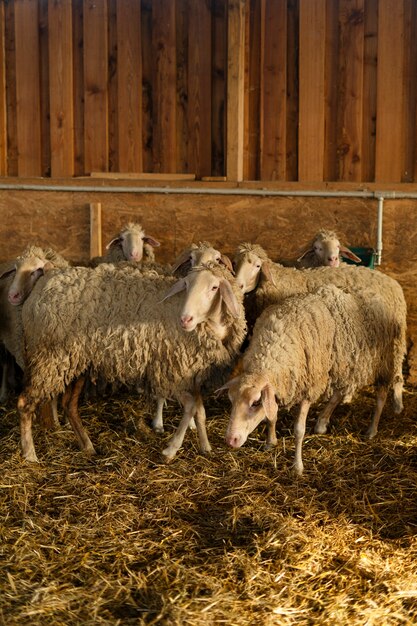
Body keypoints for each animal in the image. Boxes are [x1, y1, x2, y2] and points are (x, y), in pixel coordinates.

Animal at [17, 260, 247, 460]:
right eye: (187, 285)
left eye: (214, 287)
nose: (185, 319)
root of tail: (44, 283)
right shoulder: (172, 374)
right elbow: (191, 408)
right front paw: (170, 450)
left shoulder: (192, 375)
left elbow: (200, 412)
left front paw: (205, 446)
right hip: (49, 358)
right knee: (25, 403)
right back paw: (30, 454)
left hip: (74, 361)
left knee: (69, 405)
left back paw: (87, 446)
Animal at [221, 282, 406, 472]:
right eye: (231, 400)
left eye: (255, 403)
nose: (230, 440)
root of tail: (376, 294)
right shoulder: (281, 385)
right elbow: (272, 415)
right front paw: (270, 442)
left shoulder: (308, 387)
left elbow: (299, 430)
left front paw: (297, 466)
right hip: (343, 364)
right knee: (338, 393)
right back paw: (322, 422)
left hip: (383, 361)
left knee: (381, 395)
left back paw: (372, 430)